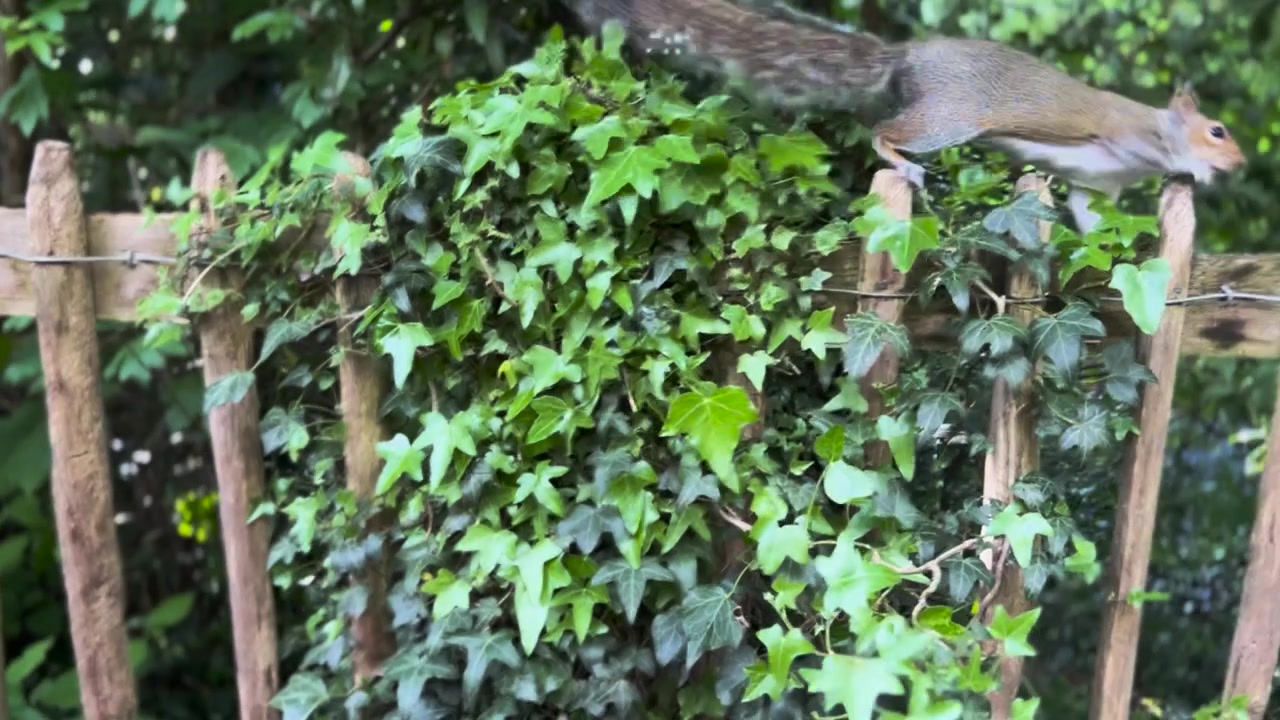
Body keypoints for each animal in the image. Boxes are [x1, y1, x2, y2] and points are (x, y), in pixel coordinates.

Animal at [571, 0, 1246, 233]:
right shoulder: (1123, 131)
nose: (1239, 162)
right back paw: (902, 164)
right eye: (1216, 130)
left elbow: (1085, 212)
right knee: (885, 132)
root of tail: (910, 55)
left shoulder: (1093, 185)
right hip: (950, 118)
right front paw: (1196, 172)